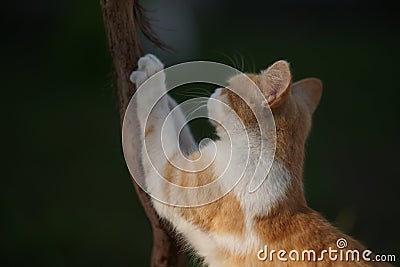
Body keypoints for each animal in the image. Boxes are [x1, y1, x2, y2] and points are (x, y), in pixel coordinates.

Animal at [130, 55, 392, 267]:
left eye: (229, 88)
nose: (216, 91)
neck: (262, 155)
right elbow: (175, 121)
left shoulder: (168, 177)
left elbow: (157, 120)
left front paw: (150, 73)